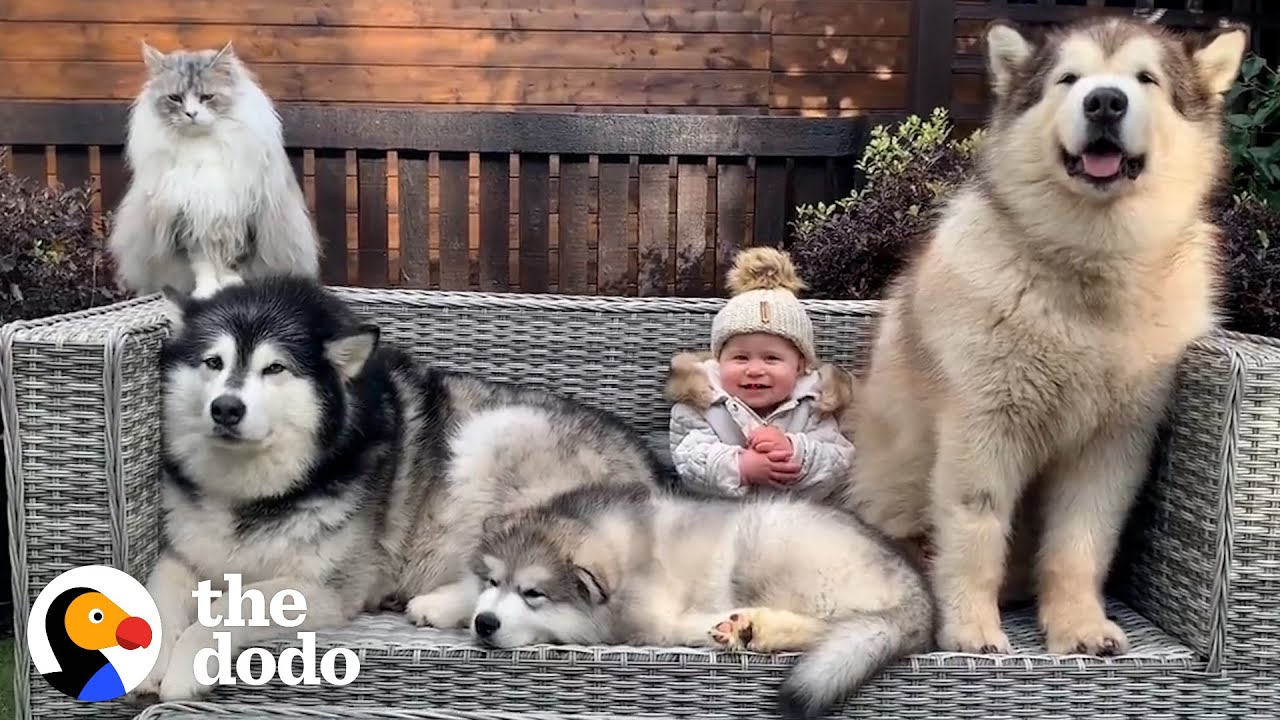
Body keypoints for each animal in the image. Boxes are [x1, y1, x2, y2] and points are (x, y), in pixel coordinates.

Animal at [107, 40, 322, 298]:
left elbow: (232, 262)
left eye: (207, 97)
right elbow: (203, 264)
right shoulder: (189, 219)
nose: (191, 114)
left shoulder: (242, 215)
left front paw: (231, 285)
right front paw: (207, 290)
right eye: (175, 98)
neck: (202, 149)